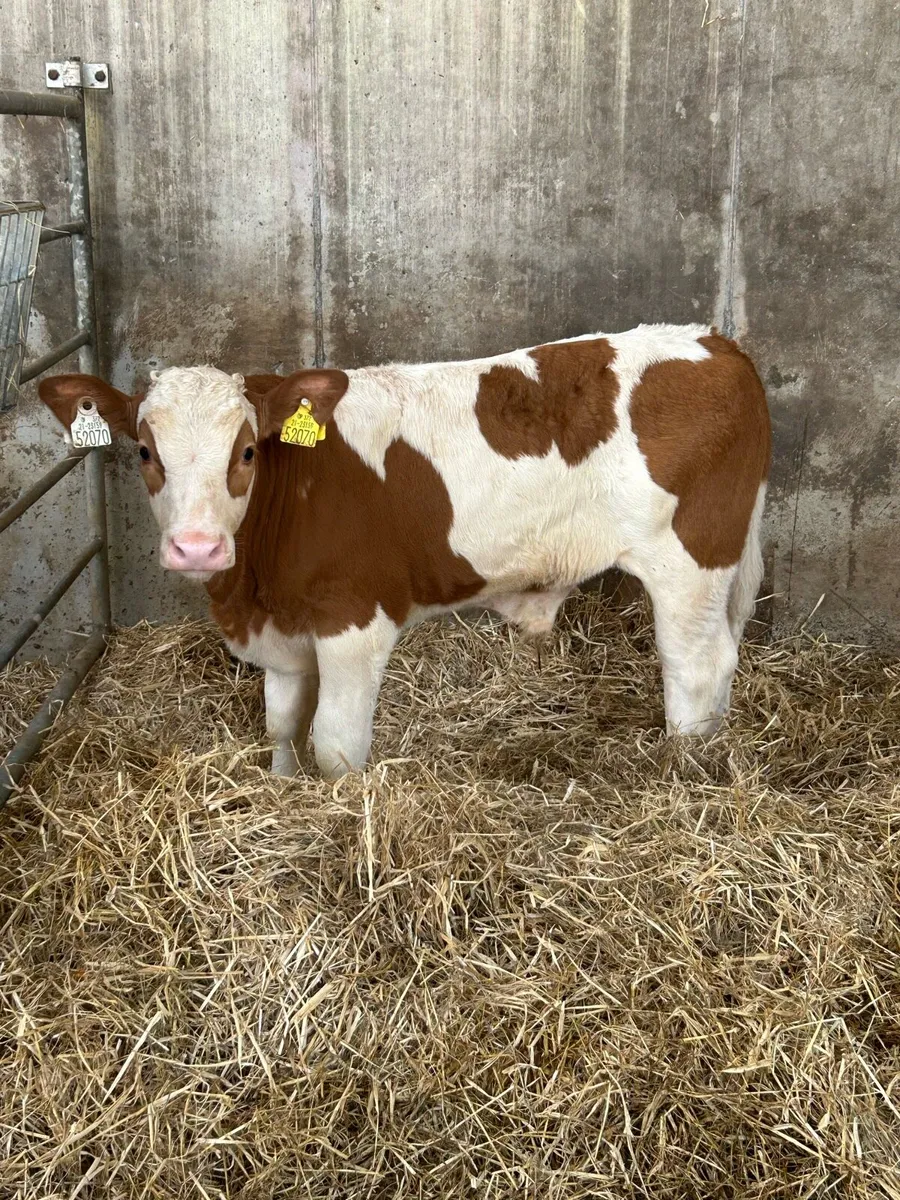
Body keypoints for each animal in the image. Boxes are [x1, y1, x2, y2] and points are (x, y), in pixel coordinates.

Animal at [39, 324, 771, 780]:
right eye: (144, 452)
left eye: (246, 452)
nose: (197, 547)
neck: (253, 592)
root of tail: (716, 341)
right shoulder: (285, 635)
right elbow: (281, 726)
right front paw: (282, 791)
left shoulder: (354, 621)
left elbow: (335, 746)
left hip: (690, 561)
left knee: (696, 667)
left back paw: (683, 771)